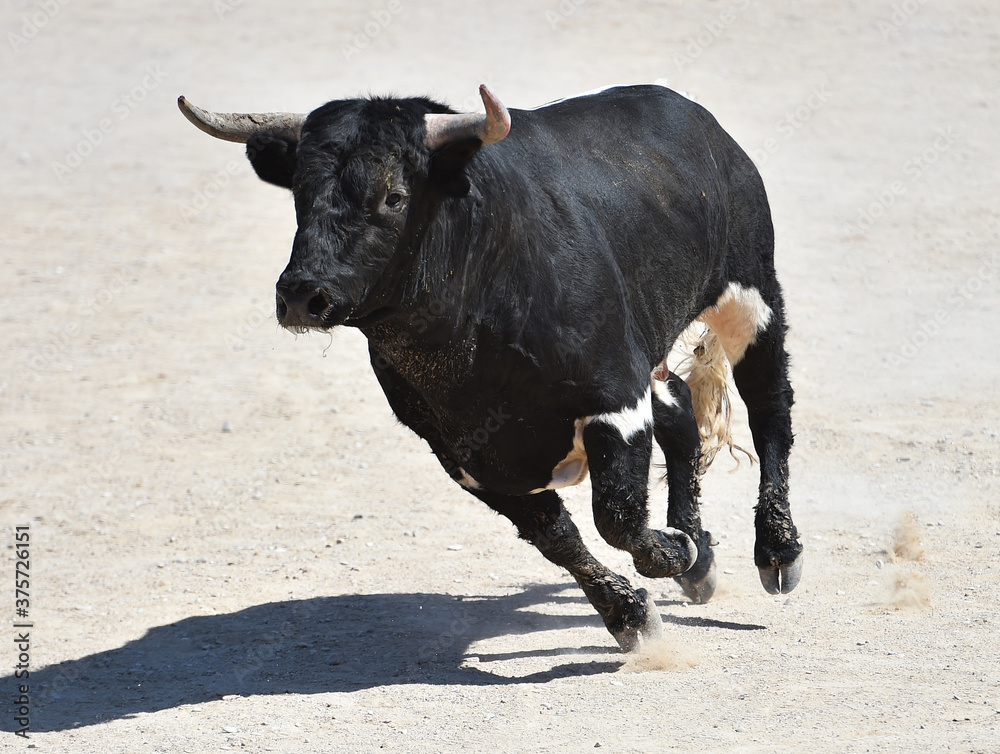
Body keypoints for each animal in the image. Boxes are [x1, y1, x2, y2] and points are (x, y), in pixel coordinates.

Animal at [178, 83, 803, 652]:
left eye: (394, 196)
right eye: (299, 196)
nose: (301, 295)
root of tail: (694, 115)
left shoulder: (612, 398)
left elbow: (617, 518)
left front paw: (675, 553)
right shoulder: (465, 455)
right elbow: (558, 538)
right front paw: (633, 614)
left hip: (752, 295)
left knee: (770, 409)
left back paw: (777, 550)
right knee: (680, 415)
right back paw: (700, 565)